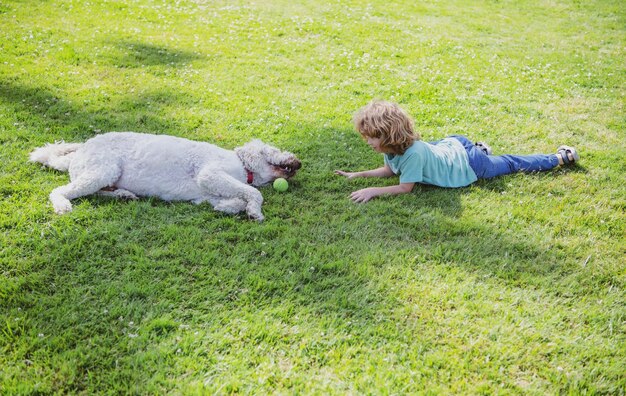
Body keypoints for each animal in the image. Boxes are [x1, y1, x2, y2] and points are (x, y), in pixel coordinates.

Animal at [29, 131, 300, 221]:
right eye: (275, 150)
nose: (299, 162)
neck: (243, 167)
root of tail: (77, 154)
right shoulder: (210, 174)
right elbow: (253, 193)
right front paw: (254, 211)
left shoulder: (207, 193)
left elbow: (236, 199)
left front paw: (228, 207)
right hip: (102, 170)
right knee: (60, 191)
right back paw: (62, 206)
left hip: (102, 176)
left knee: (99, 192)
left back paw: (124, 195)